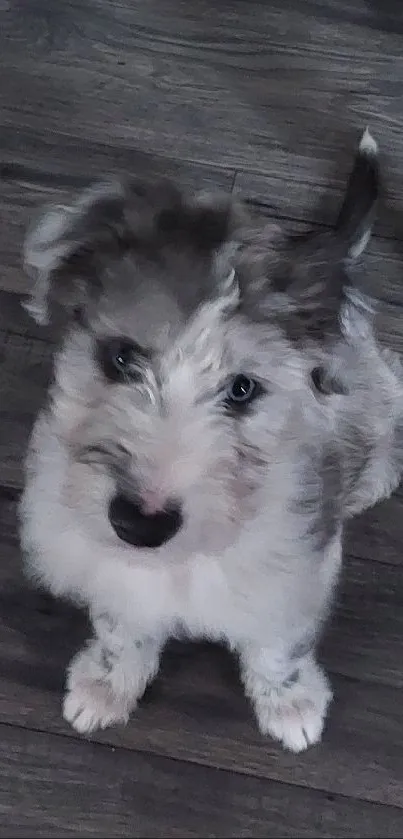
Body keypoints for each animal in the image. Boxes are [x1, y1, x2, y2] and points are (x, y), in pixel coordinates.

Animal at [19, 133, 403, 756]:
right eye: (120, 357)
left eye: (243, 389)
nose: (139, 524)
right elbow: (122, 626)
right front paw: (106, 687)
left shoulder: (291, 575)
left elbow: (277, 649)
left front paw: (291, 707)